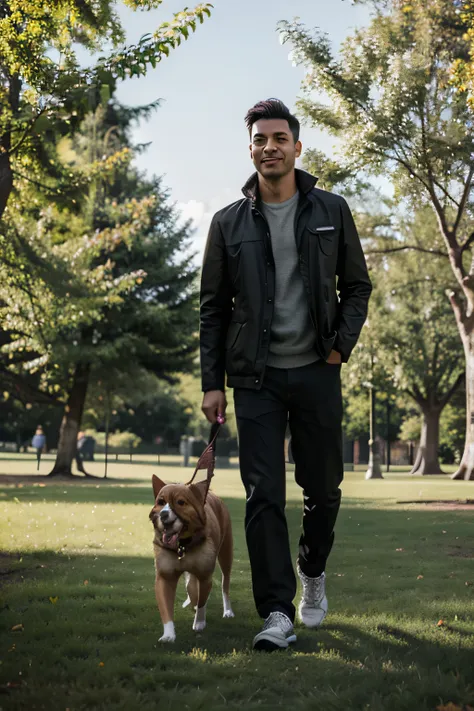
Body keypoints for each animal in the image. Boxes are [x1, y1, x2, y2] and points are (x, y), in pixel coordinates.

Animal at [149, 472, 234, 644]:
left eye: (181, 502)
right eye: (160, 502)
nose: (163, 514)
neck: (182, 545)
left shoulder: (205, 576)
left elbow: (202, 600)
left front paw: (199, 623)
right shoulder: (165, 576)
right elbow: (166, 606)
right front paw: (168, 635)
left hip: (226, 555)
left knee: (225, 584)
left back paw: (228, 610)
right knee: (191, 587)